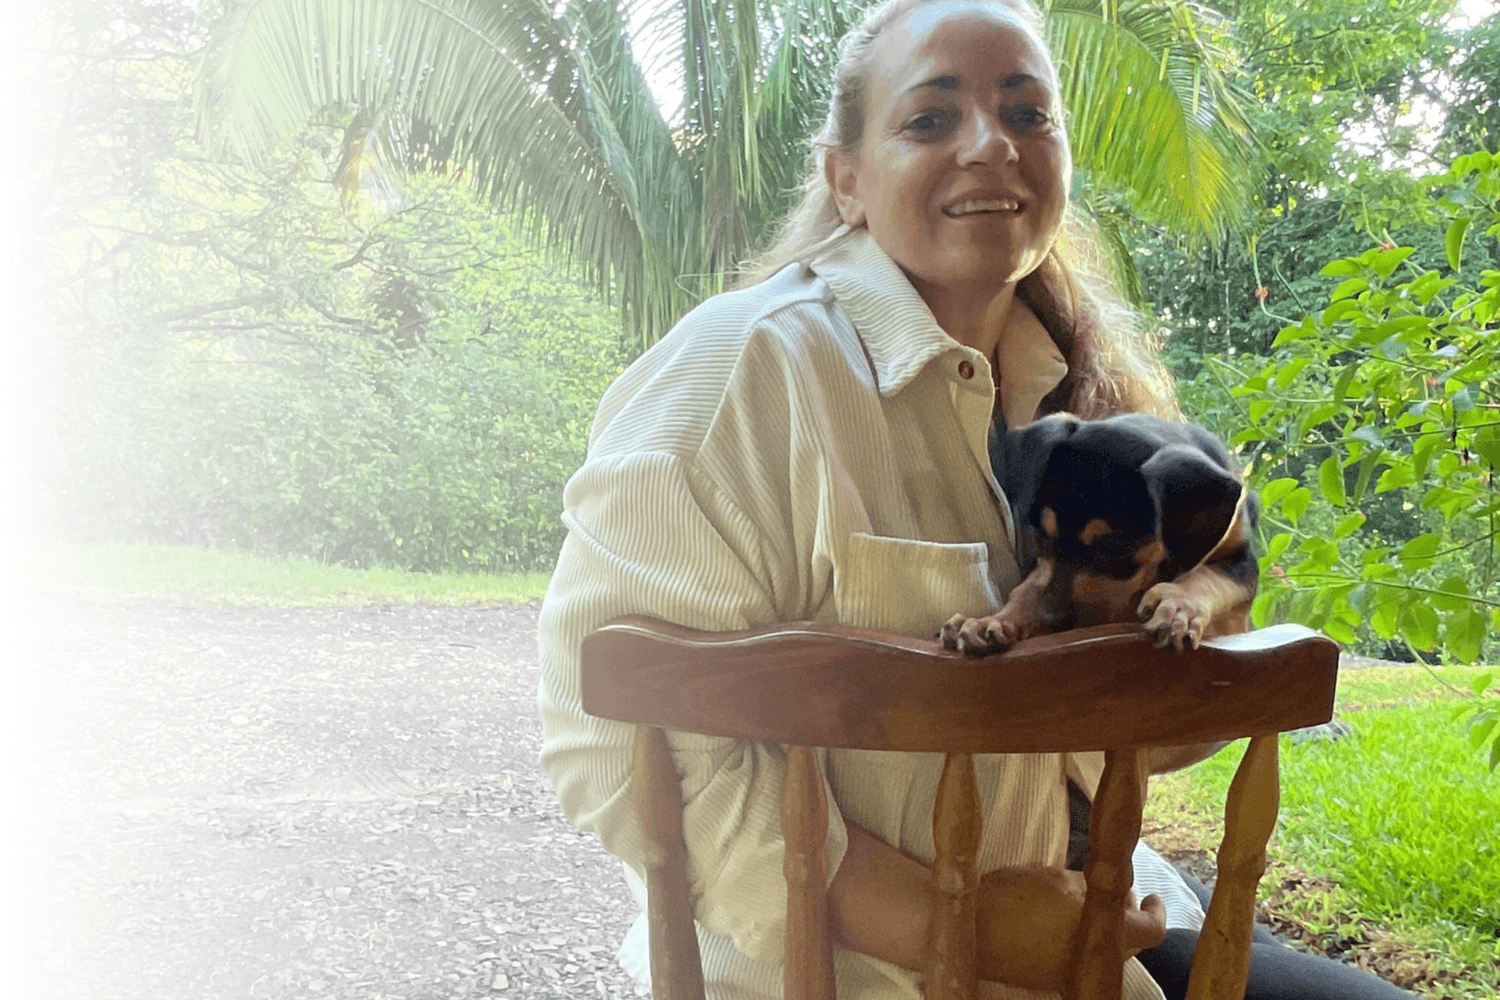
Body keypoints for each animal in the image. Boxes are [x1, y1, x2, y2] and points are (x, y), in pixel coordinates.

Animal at [940, 413, 1259, 656]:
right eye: (1040, 537)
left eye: (1114, 550)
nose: (1049, 620)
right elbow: (1029, 586)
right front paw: (992, 621)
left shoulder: (1242, 559)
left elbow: (1208, 575)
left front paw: (1178, 604)